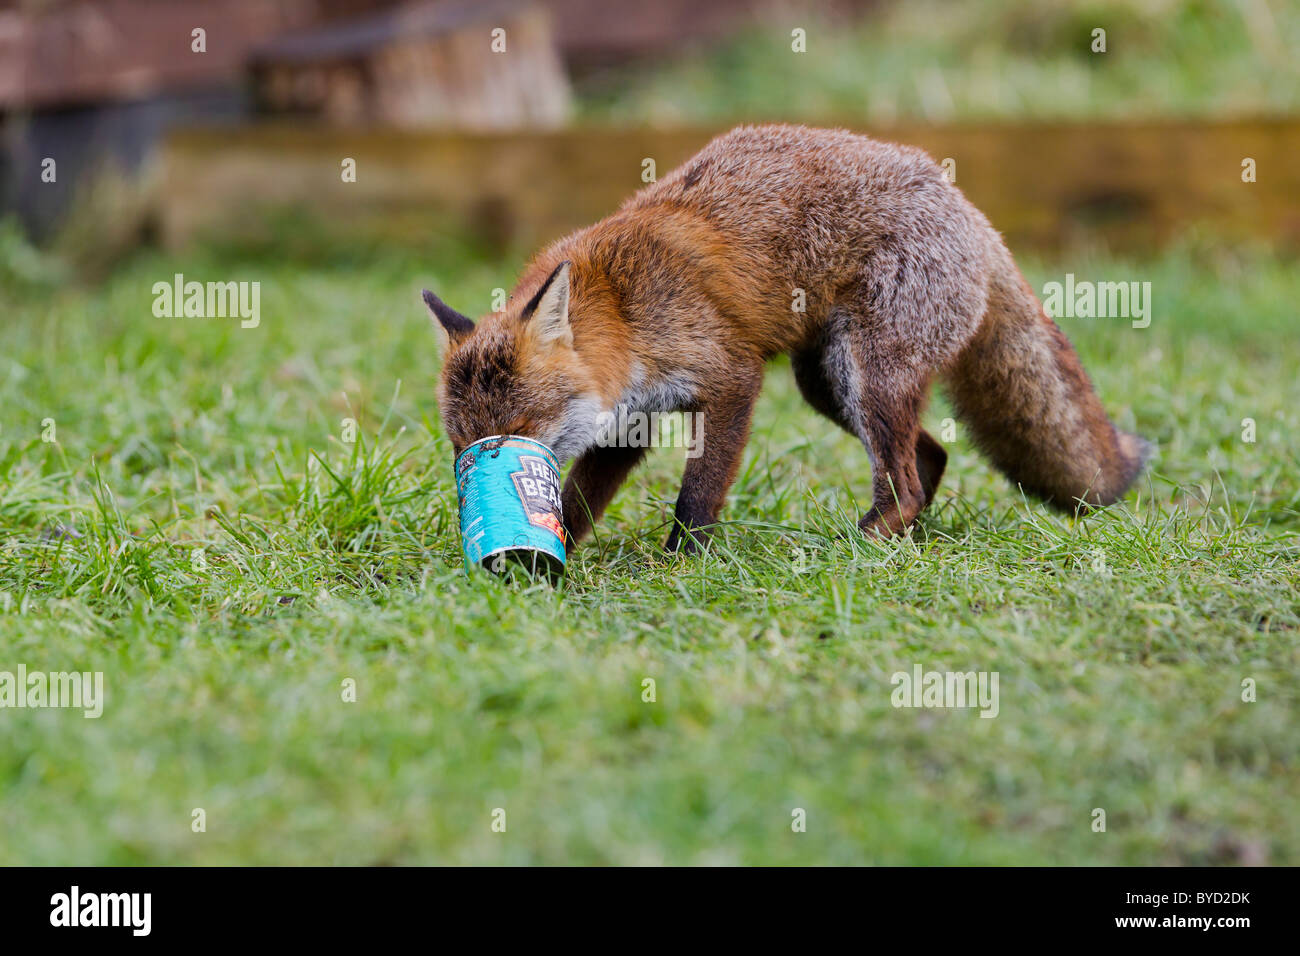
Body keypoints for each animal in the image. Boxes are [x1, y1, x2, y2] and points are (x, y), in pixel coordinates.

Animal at [423, 122, 1149, 554]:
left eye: (519, 428)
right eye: (461, 444)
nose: (480, 473)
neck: (625, 310)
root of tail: (967, 206)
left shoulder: (731, 379)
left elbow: (698, 493)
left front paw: (680, 564)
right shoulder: (628, 422)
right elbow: (575, 502)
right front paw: (545, 557)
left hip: (871, 375)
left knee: (908, 477)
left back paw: (861, 546)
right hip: (828, 383)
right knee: (932, 457)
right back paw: (900, 538)